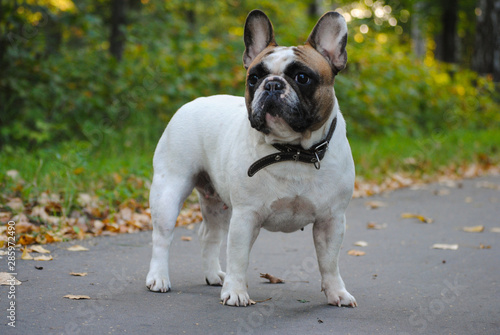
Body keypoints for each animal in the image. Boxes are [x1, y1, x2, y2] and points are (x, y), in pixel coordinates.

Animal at [146, 9, 358, 308]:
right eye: (253, 78)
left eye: (302, 77)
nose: (272, 85)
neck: (292, 151)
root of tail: (193, 102)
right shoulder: (246, 216)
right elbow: (238, 257)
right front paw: (236, 292)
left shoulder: (332, 219)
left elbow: (329, 261)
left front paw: (337, 292)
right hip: (169, 189)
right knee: (162, 236)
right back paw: (158, 278)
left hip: (218, 202)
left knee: (209, 235)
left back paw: (213, 275)